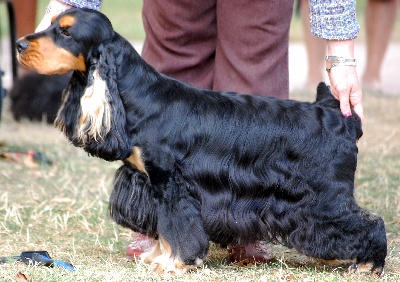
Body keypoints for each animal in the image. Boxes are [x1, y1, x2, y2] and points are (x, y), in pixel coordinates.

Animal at [16, 8, 388, 276]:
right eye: (50, 24)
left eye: (66, 32)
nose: (19, 45)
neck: (139, 97)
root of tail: (341, 118)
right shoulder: (154, 184)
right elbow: (163, 228)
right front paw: (157, 258)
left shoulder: (172, 183)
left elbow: (175, 227)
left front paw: (173, 263)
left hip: (325, 196)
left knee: (370, 223)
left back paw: (369, 264)